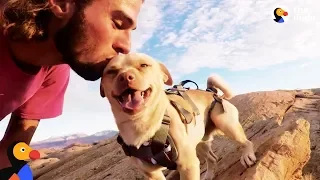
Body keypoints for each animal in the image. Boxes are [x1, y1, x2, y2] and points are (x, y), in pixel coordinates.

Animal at [101, 53, 256, 180]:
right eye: (111, 71)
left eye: (144, 65)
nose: (125, 77)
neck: (140, 124)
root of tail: (210, 91)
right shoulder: (152, 174)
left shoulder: (188, 165)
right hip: (199, 143)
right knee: (212, 158)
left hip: (225, 123)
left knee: (246, 142)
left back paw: (247, 156)